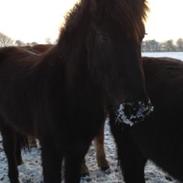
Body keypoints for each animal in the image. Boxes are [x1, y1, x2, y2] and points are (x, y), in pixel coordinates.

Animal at [0, 0, 150, 182]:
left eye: (142, 37)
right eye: (103, 36)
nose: (137, 109)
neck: (67, 93)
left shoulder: (77, 151)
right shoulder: (51, 151)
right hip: (4, 125)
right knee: (9, 153)